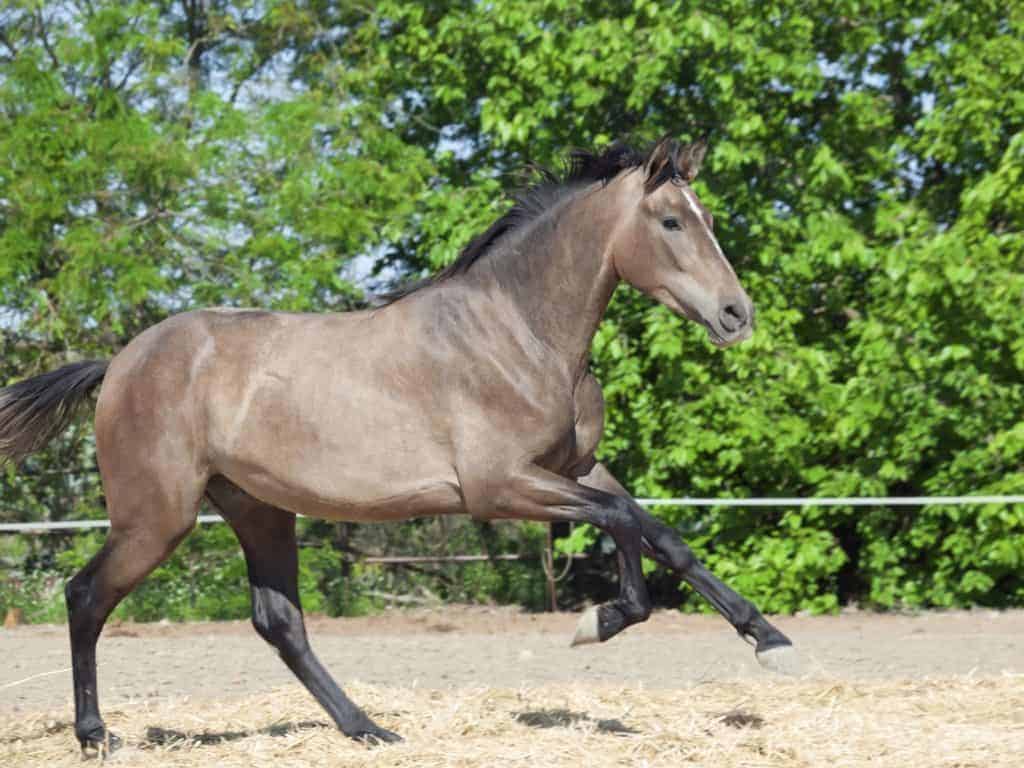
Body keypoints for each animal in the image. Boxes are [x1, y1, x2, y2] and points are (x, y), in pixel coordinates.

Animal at [0, 135, 796, 753]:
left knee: (279, 622)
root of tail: (120, 363)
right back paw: (96, 735)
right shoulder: (499, 487)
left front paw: (770, 641)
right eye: (670, 221)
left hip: (257, 509)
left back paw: (368, 729)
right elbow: (628, 524)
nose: (736, 314)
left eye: (708, 217)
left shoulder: (577, 468)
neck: (521, 333)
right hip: (157, 517)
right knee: (85, 596)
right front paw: (596, 624)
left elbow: (665, 536)